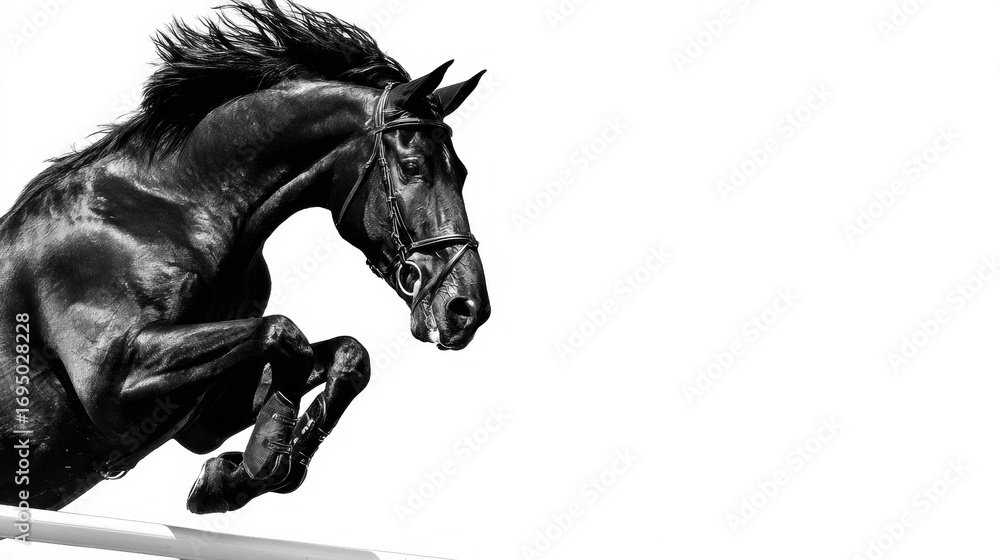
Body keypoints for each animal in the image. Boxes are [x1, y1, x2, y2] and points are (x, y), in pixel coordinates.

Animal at [0, 0, 490, 515]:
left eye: (462, 172)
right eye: (413, 167)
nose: (466, 309)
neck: (175, 210)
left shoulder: (202, 415)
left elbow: (347, 354)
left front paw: (233, 476)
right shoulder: (113, 386)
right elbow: (284, 333)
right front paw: (253, 466)